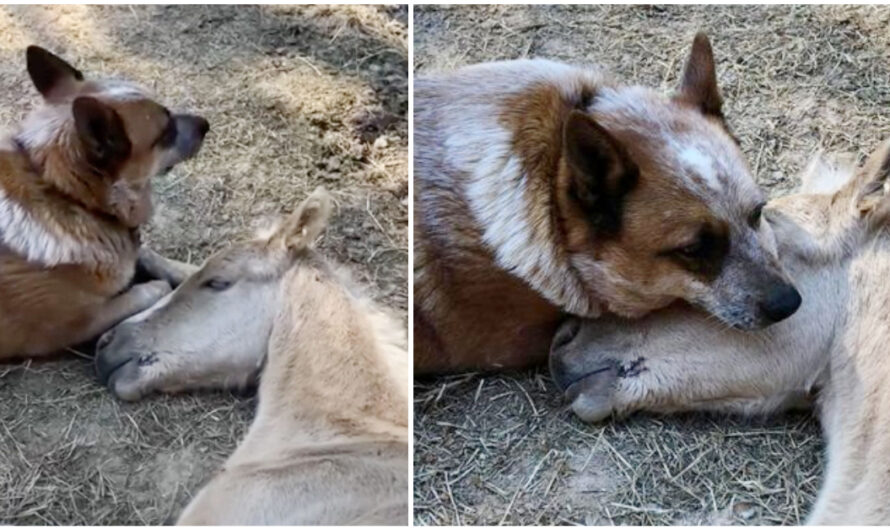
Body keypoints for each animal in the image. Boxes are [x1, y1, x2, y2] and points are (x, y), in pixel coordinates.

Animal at [0, 46, 206, 358]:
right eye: (165, 132)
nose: (207, 124)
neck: (64, 194)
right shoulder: (74, 324)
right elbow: (148, 289)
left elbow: (147, 253)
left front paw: (190, 270)